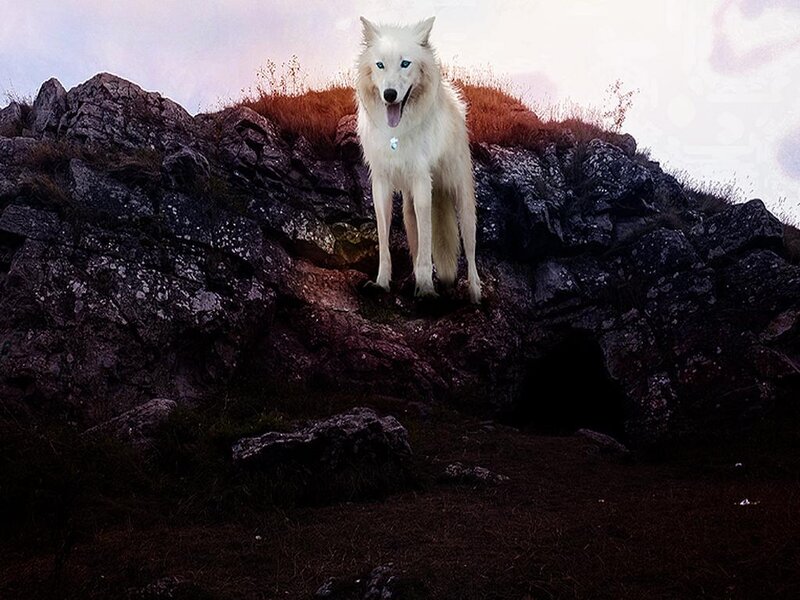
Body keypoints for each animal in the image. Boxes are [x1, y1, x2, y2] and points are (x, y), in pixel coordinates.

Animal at [355, 16, 482, 303]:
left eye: (405, 63)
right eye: (380, 65)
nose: (390, 94)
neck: (396, 134)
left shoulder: (423, 181)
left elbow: (427, 245)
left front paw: (426, 288)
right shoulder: (380, 184)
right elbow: (385, 240)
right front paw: (382, 283)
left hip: (462, 198)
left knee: (470, 249)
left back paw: (476, 294)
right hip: (408, 208)